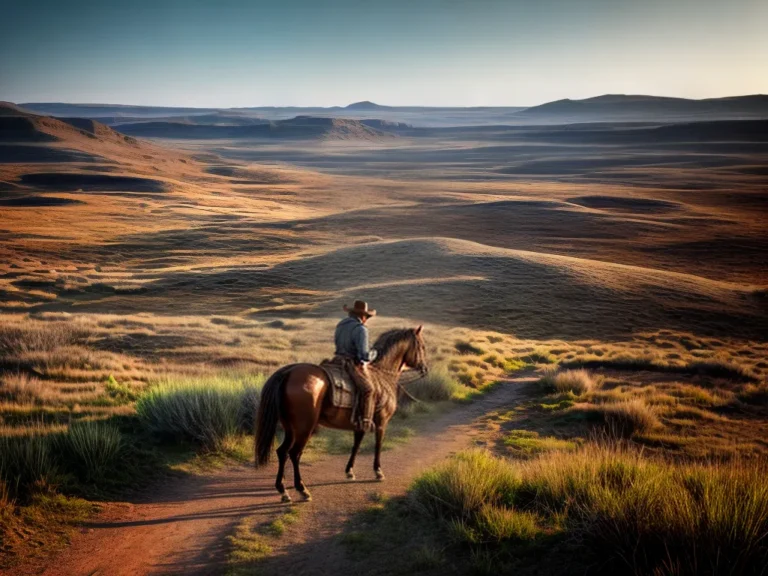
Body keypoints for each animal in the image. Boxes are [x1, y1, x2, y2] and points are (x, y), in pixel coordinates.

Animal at [256, 326, 426, 502]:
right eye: (421, 346)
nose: (424, 368)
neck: (382, 375)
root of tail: (287, 372)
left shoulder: (360, 424)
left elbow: (356, 445)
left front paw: (349, 471)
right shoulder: (381, 422)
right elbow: (378, 444)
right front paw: (378, 471)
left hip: (290, 428)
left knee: (282, 452)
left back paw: (283, 489)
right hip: (304, 428)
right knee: (294, 453)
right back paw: (302, 490)